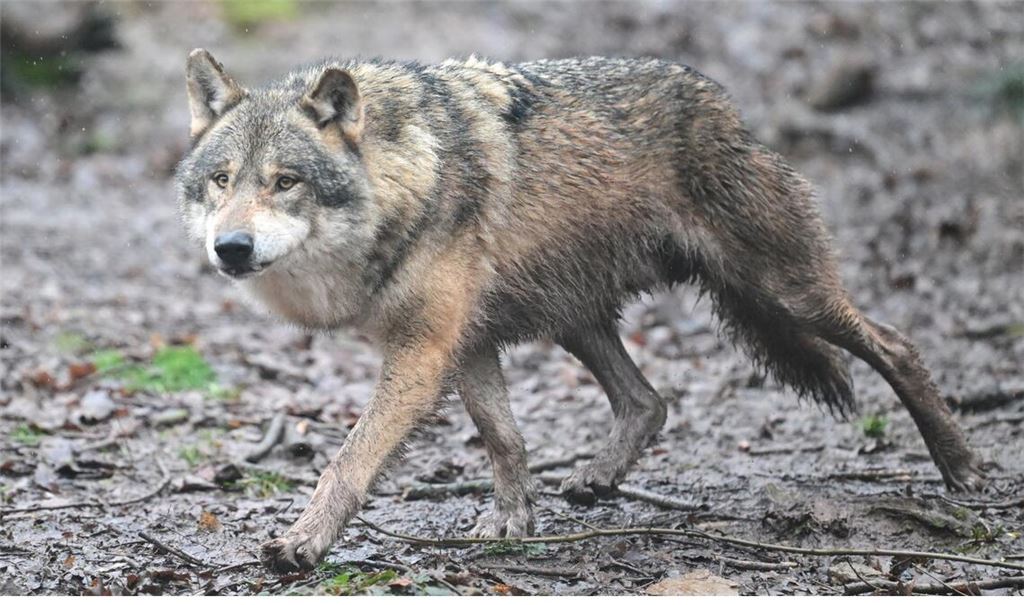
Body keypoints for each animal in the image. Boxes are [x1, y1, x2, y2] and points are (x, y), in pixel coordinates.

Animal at [176, 49, 986, 573]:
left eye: (285, 181)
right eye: (222, 180)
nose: (231, 247)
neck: (405, 177)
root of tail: (725, 105)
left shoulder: (424, 350)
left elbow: (348, 460)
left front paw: (302, 542)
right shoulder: (464, 343)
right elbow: (504, 438)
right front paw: (512, 521)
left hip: (784, 291)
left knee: (896, 344)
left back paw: (961, 469)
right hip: (575, 317)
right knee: (649, 400)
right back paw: (597, 478)